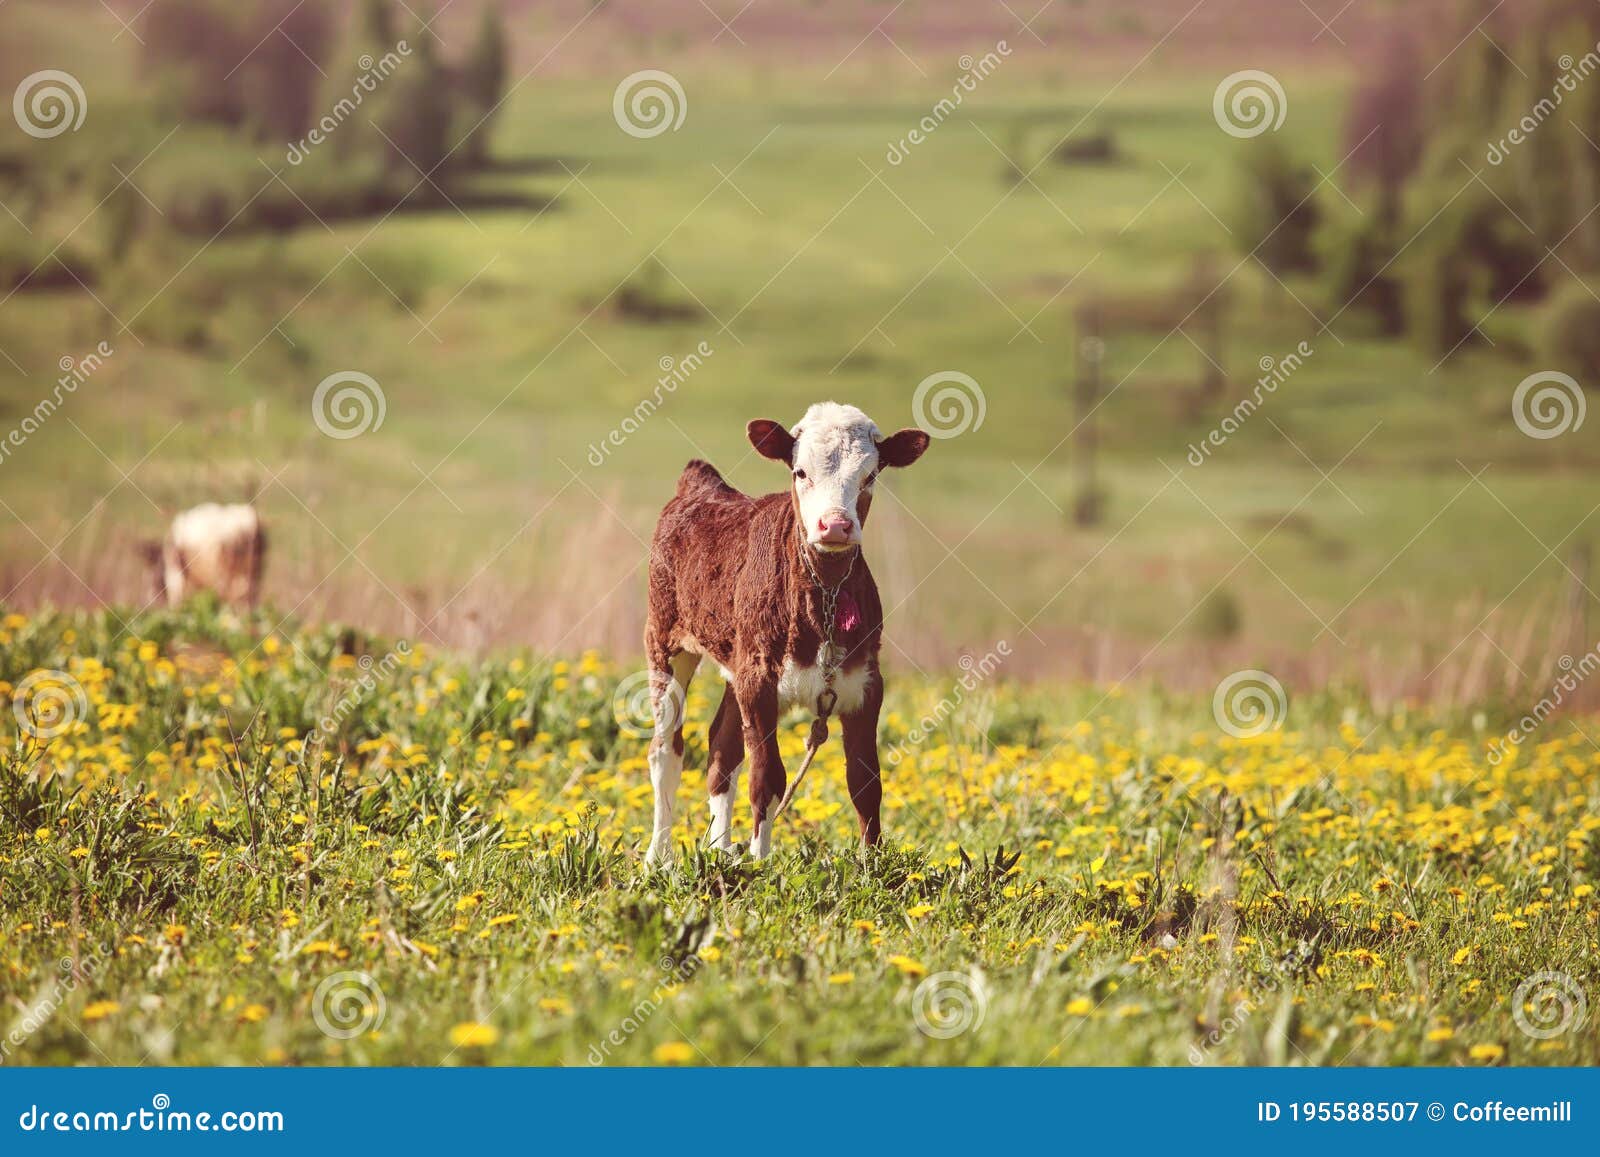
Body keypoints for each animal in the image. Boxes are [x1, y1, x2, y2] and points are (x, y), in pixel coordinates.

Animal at [644, 402, 930, 864]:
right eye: (800, 471)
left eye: (870, 474)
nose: (835, 526)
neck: (824, 598)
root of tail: (702, 486)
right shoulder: (759, 680)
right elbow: (767, 777)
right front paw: (760, 863)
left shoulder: (866, 682)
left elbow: (865, 782)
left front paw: (873, 867)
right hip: (665, 638)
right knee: (666, 749)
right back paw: (660, 856)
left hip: (736, 661)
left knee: (721, 749)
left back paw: (722, 850)